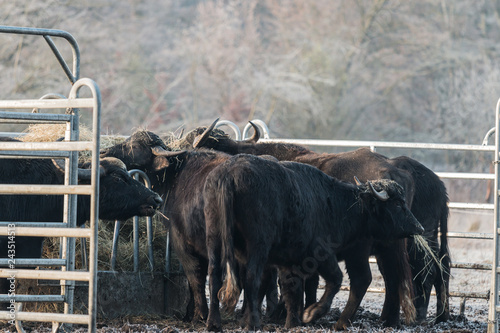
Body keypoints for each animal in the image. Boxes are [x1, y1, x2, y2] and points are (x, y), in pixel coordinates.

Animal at [202, 153, 422, 330]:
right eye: (397, 203)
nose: (418, 227)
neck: (332, 203)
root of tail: (229, 174)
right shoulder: (320, 254)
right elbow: (335, 279)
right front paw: (311, 313)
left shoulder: (290, 261)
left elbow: (292, 289)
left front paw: (293, 322)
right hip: (258, 245)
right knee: (251, 278)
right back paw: (253, 323)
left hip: (214, 239)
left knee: (214, 276)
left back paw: (214, 323)